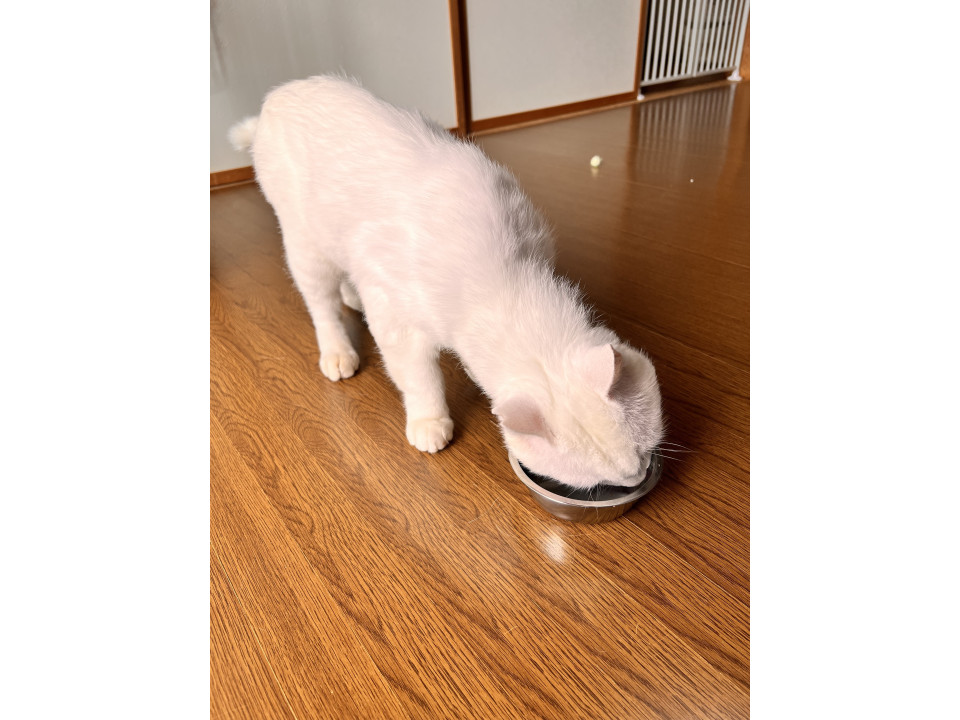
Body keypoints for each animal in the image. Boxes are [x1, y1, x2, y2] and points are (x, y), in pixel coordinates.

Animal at [229, 75, 664, 489]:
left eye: (644, 452)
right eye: (600, 483)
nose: (638, 478)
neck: (503, 282)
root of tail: (275, 97)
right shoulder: (396, 321)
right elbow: (420, 379)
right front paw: (429, 422)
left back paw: (352, 298)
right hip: (307, 248)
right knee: (322, 307)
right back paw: (337, 352)